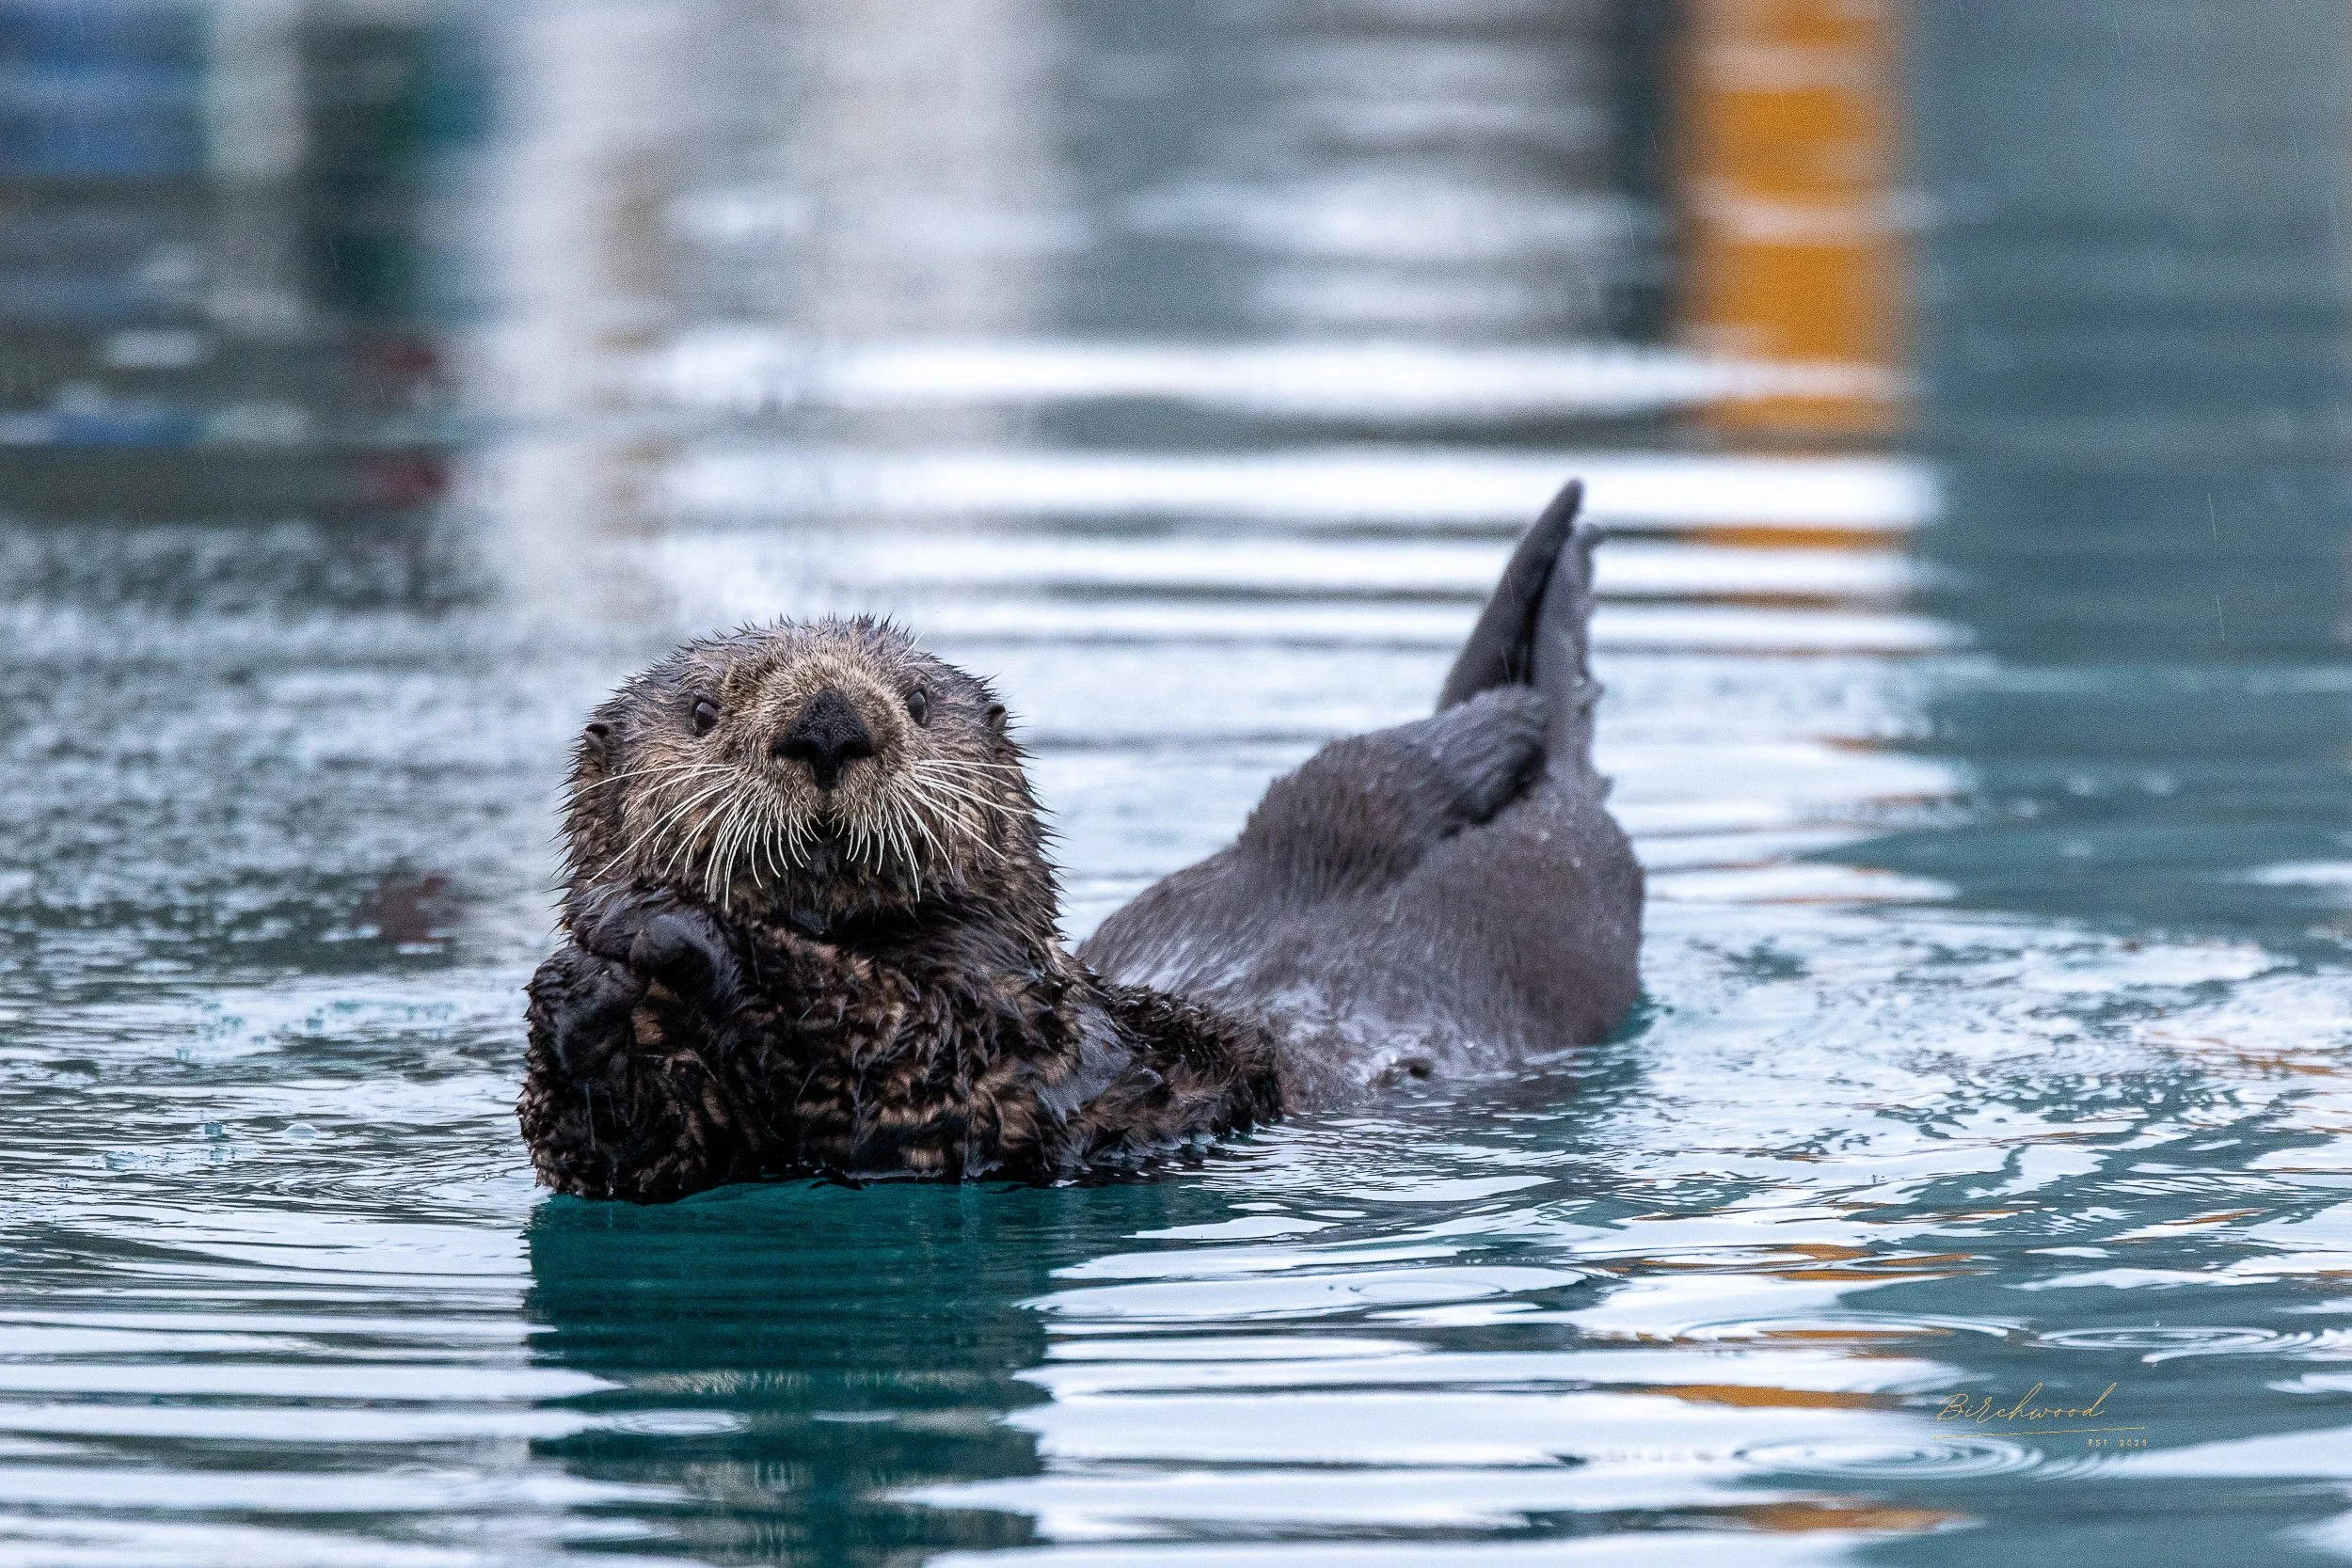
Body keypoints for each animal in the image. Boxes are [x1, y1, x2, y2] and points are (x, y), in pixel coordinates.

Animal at [520, 480, 1639, 1200]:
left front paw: (668, 929)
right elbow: (624, 1148)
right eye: (705, 711)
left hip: (1351, 800)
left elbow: (905, 1032)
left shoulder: (1014, 1045)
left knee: (1425, 757)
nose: (829, 723)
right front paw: (588, 990)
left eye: (918, 703)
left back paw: (1526, 680)